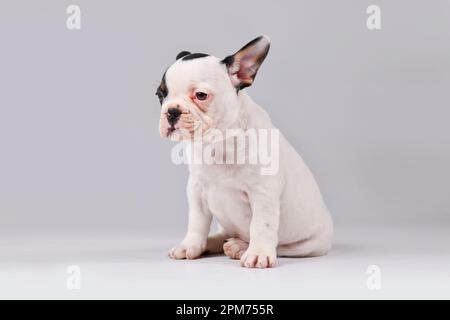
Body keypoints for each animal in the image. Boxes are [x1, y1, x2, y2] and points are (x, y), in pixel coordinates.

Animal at [156, 35, 332, 268]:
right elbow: (196, 223)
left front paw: (258, 253)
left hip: (309, 244)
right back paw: (216, 243)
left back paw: (241, 247)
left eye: (201, 95)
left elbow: (261, 225)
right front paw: (190, 246)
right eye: (160, 95)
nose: (171, 111)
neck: (218, 141)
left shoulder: (263, 193)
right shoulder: (196, 190)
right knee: (226, 234)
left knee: (281, 246)